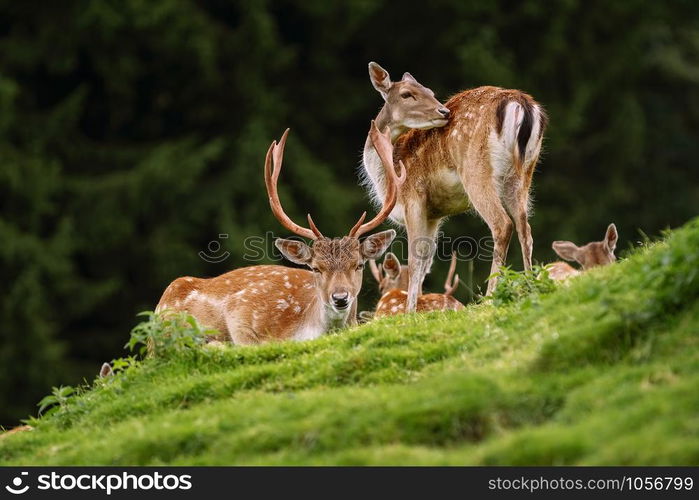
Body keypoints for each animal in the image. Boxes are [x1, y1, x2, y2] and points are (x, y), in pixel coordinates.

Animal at [364, 61, 548, 312]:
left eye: (429, 91)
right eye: (407, 94)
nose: (443, 111)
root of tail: (520, 103)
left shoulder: (414, 198)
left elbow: (415, 259)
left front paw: (410, 312)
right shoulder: (434, 215)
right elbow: (426, 260)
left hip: (476, 171)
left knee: (502, 224)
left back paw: (490, 297)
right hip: (523, 173)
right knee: (525, 227)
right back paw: (530, 286)